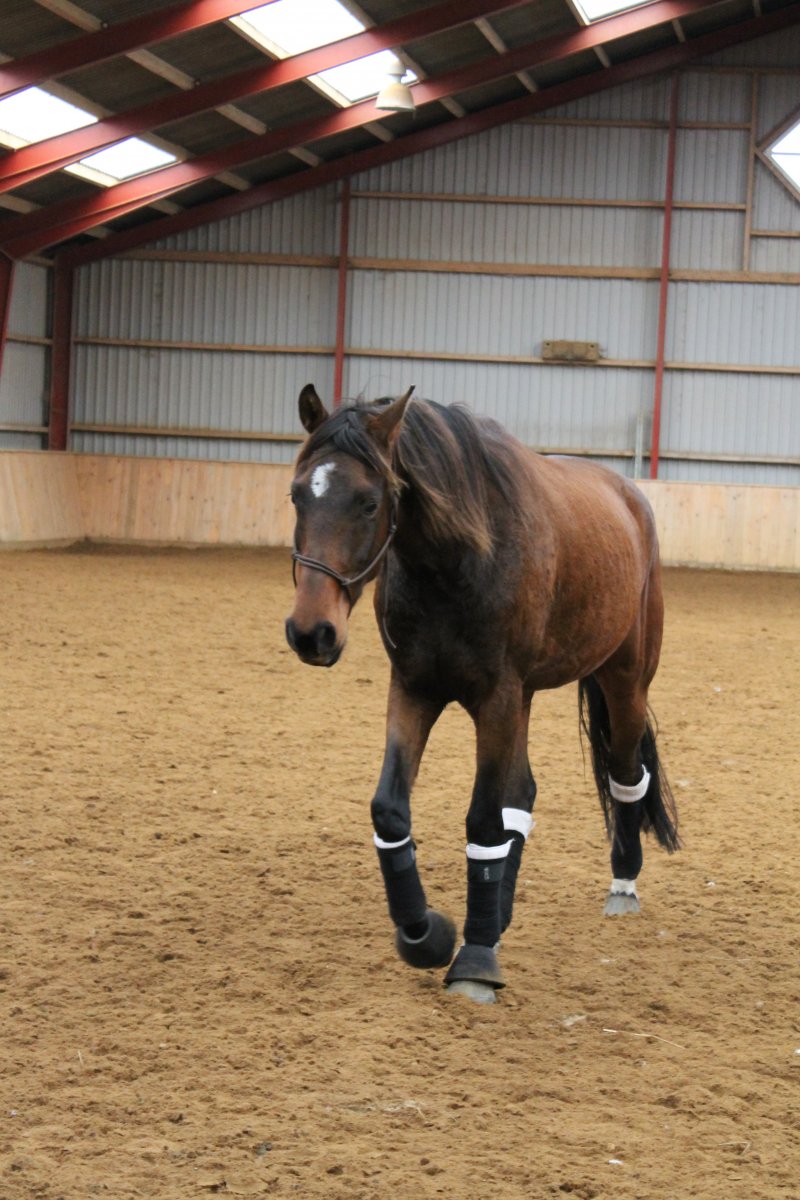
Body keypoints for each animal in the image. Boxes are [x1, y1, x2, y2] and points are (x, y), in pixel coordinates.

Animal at [285, 384, 679, 1003]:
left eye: (370, 503)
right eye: (299, 494)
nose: (311, 632)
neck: (453, 563)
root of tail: (628, 497)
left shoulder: (496, 697)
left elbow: (483, 822)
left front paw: (472, 959)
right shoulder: (415, 689)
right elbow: (391, 813)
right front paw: (426, 934)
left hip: (624, 682)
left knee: (624, 774)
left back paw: (622, 882)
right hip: (526, 698)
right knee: (523, 792)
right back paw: (497, 916)